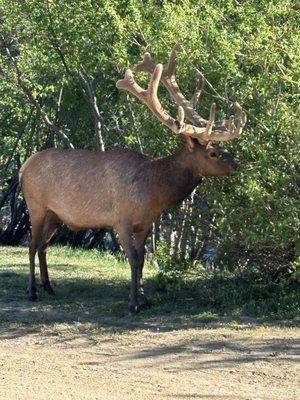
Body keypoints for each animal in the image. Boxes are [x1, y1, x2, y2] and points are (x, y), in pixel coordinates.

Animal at [20, 44, 246, 312]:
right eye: (213, 153)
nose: (236, 163)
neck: (154, 191)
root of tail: (24, 166)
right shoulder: (121, 220)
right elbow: (133, 259)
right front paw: (133, 303)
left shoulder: (146, 223)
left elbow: (143, 259)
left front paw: (144, 299)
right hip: (36, 205)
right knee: (32, 244)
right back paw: (32, 291)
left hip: (56, 215)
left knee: (43, 245)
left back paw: (49, 287)